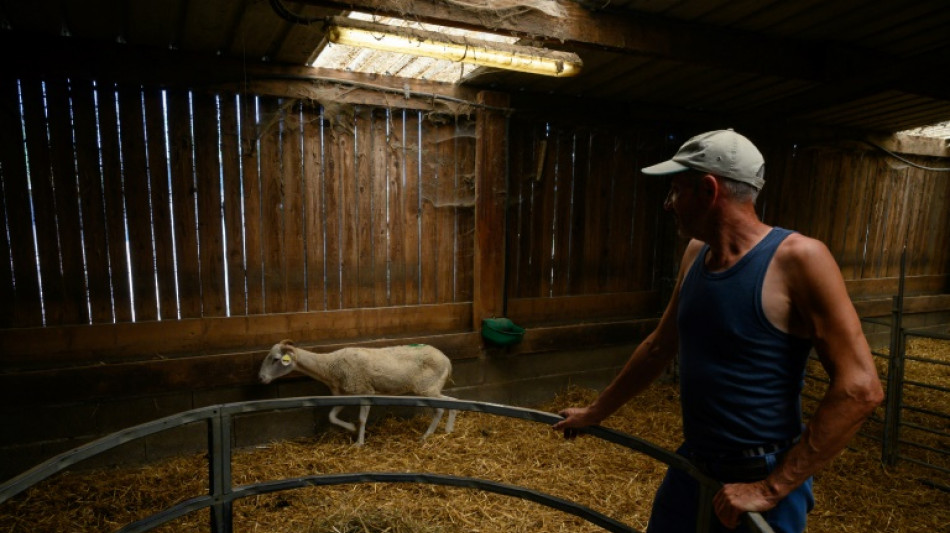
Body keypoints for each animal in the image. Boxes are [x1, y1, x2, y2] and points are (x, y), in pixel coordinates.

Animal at [256, 338, 458, 442]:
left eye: (275, 359)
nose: (261, 378)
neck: (329, 367)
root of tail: (447, 360)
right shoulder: (344, 394)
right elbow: (332, 416)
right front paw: (351, 428)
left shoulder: (364, 391)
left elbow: (362, 420)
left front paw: (359, 443)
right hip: (431, 389)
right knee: (453, 403)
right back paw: (446, 430)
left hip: (428, 388)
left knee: (442, 408)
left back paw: (426, 436)